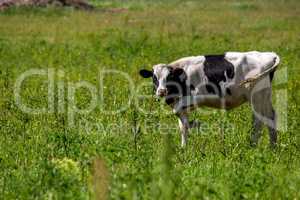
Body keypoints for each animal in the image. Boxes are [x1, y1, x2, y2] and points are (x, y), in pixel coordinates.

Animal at [139, 51, 280, 148]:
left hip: (256, 97)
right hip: (264, 96)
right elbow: (182, 127)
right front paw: (183, 147)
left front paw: (188, 139)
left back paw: (253, 145)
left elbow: (185, 125)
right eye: (154, 78)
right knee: (270, 117)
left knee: (259, 121)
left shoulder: (190, 100)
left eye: (169, 77)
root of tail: (268, 55)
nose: (161, 91)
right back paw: (272, 147)